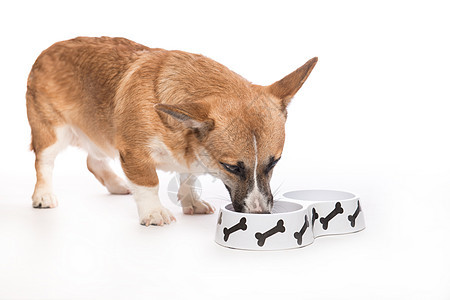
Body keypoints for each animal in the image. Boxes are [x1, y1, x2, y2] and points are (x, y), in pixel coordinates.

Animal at [27, 37, 316, 225]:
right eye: (231, 167)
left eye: (274, 162)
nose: (260, 215)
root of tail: (47, 50)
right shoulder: (135, 153)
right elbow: (149, 183)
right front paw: (153, 213)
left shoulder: (189, 155)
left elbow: (188, 177)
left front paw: (191, 202)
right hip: (52, 133)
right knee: (44, 162)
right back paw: (43, 195)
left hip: (99, 132)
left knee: (93, 159)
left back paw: (117, 184)